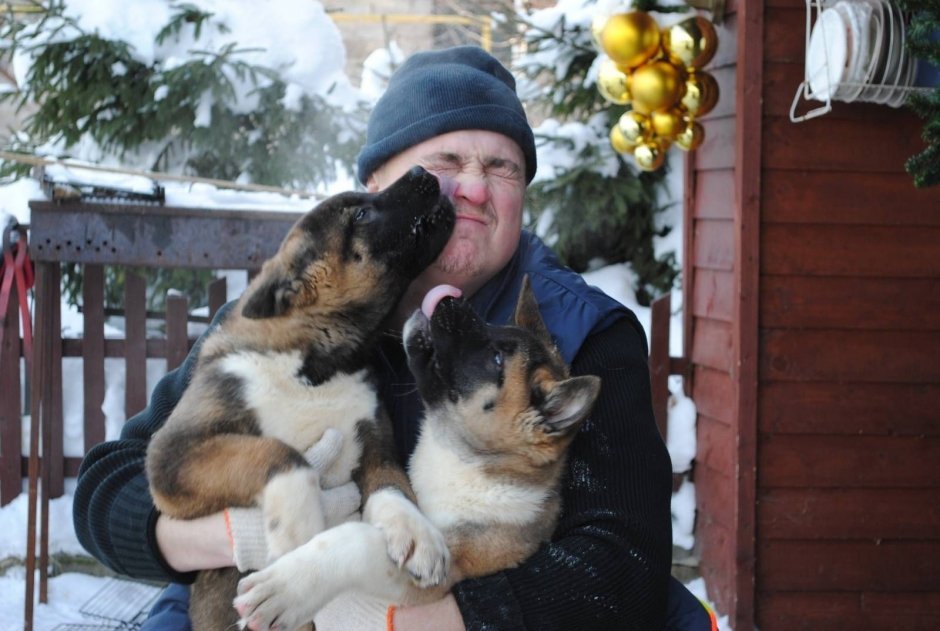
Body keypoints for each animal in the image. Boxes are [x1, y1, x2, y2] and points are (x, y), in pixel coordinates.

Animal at [146, 165, 456, 628]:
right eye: (361, 214)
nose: (420, 170)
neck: (317, 366)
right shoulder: (172, 454)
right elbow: (279, 454)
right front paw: (298, 533)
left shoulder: (376, 445)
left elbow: (393, 487)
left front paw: (416, 530)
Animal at [235, 278, 604, 628]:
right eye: (495, 327)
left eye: (496, 359)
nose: (451, 298)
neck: (461, 461)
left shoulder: (442, 571)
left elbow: (354, 540)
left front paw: (285, 588)